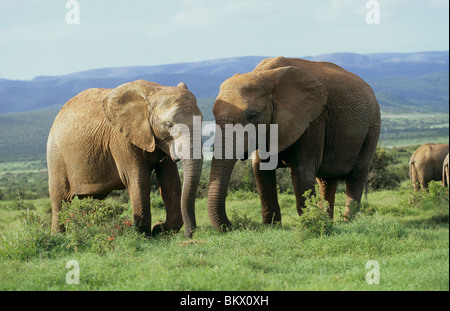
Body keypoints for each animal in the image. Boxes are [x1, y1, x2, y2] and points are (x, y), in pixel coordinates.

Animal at [47, 79, 202, 238]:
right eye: (169, 125)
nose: (189, 234)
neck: (154, 91)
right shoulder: (120, 138)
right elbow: (137, 178)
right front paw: (145, 235)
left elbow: (170, 180)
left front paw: (160, 230)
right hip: (56, 154)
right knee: (60, 198)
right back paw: (58, 236)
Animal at [207, 56, 380, 233]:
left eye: (252, 116)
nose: (232, 226)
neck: (265, 75)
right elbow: (261, 169)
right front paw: (271, 227)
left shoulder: (312, 120)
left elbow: (301, 171)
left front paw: (307, 225)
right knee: (326, 180)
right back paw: (329, 221)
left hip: (372, 127)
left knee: (357, 175)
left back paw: (348, 221)